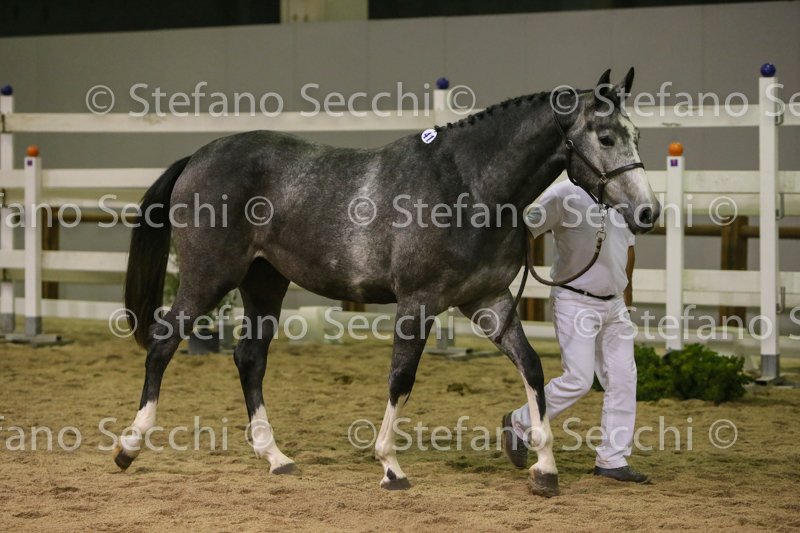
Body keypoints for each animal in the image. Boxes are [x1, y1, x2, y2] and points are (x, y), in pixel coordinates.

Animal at [113, 68, 660, 497]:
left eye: (637, 136)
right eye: (606, 137)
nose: (648, 212)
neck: (470, 186)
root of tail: (198, 157)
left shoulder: (489, 302)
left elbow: (531, 367)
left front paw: (544, 468)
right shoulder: (418, 302)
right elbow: (402, 378)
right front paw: (390, 466)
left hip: (264, 284)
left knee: (250, 359)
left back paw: (276, 457)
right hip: (209, 278)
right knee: (163, 344)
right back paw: (129, 446)